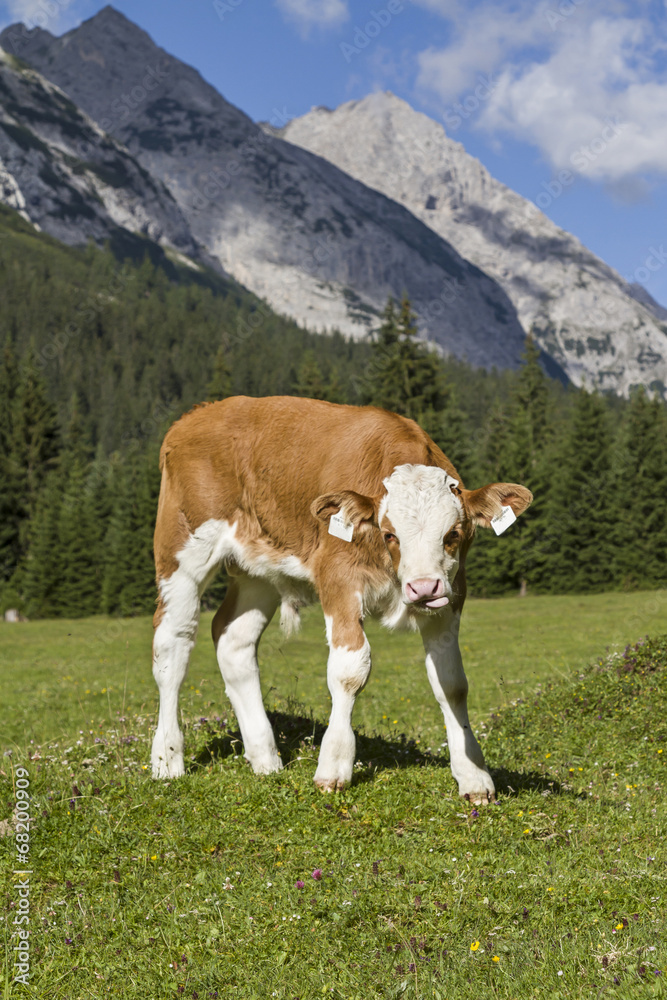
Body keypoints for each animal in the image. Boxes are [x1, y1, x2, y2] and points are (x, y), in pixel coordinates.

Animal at [151, 394, 532, 800]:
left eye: (454, 533)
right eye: (389, 533)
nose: (423, 588)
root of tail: (196, 414)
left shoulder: (452, 593)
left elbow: (452, 683)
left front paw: (474, 776)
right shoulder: (338, 578)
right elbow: (350, 671)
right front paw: (333, 766)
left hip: (258, 570)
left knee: (233, 640)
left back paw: (265, 758)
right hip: (181, 553)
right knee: (172, 645)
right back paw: (167, 760)